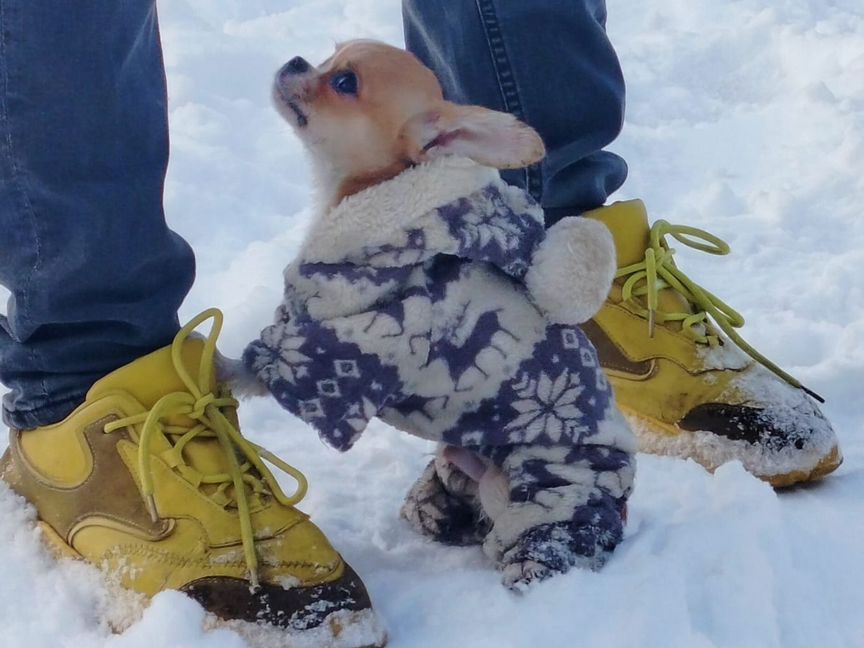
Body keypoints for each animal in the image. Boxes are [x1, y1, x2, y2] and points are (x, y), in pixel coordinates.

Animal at [243, 40, 636, 588]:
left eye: (345, 83)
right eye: (329, 55)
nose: (296, 60)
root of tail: (620, 504)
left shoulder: (348, 348)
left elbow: (263, 364)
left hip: (551, 492)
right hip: (457, 462)